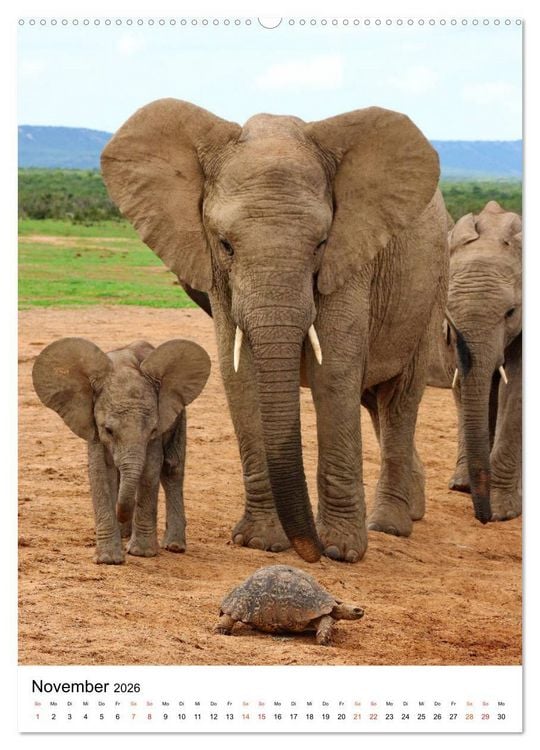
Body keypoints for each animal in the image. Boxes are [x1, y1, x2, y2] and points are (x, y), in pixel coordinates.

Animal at [32, 338, 211, 563]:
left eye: (152, 430)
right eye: (108, 430)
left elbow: (151, 469)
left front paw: (141, 553)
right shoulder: (92, 422)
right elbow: (100, 471)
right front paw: (109, 560)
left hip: (178, 413)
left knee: (172, 468)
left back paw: (174, 546)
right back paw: (125, 534)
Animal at [101, 99, 448, 564]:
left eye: (320, 244)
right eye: (226, 244)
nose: (311, 552)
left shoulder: (350, 259)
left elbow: (333, 371)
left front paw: (341, 551)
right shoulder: (218, 275)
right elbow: (240, 375)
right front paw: (260, 542)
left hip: (432, 286)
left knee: (399, 398)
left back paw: (390, 526)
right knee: (376, 401)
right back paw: (411, 509)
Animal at [428, 200, 522, 523]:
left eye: (511, 312)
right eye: (447, 307)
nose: (483, 518)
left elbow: (516, 392)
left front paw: (502, 512)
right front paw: (462, 488)